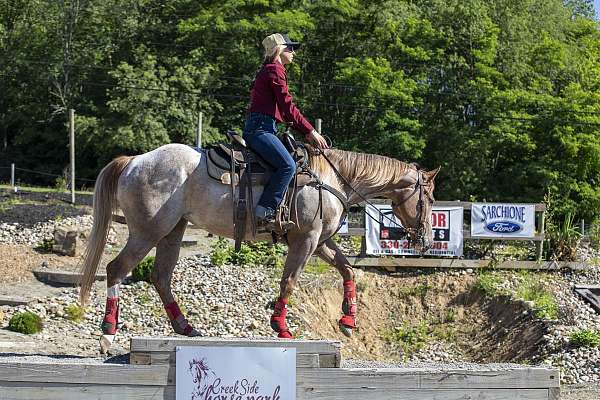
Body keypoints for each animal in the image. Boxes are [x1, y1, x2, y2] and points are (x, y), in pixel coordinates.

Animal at [77, 143, 438, 350]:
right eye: (429, 199)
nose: (425, 238)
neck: (330, 180)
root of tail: (135, 161)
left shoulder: (320, 241)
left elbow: (348, 269)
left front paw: (348, 322)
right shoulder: (305, 240)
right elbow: (289, 281)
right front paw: (281, 327)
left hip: (172, 231)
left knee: (161, 276)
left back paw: (186, 327)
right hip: (148, 231)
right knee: (116, 269)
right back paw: (108, 334)